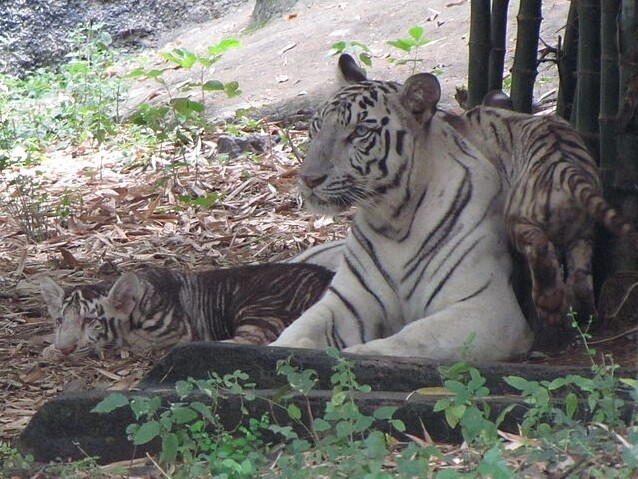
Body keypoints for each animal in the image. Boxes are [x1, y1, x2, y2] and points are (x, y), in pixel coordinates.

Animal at [272, 56, 536, 362]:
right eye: (317, 127)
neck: (394, 221)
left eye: (360, 132)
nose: (308, 178)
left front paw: (355, 355)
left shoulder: (487, 307)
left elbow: (415, 339)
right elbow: (302, 327)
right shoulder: (347, 300)